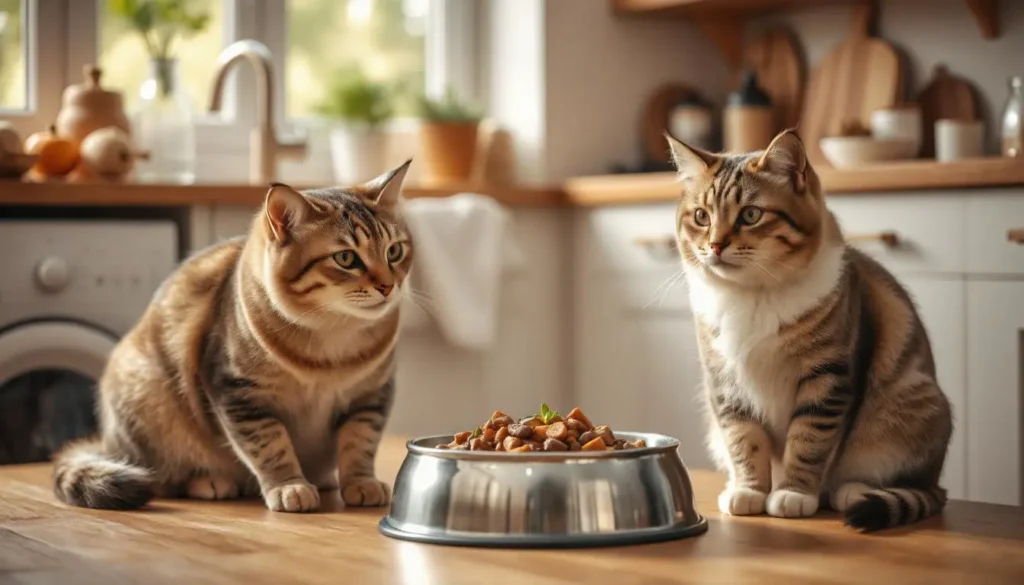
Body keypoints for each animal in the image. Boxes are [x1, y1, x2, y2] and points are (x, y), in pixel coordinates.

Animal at [54, 159, 413, 512]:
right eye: (346, 258)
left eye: (394, 252)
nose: (388, 286)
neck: (333, 341)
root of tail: (108, 444)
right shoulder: (239, 393)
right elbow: (270, 446)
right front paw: (289, 486)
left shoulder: (371, 394)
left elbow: (360, 442)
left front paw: (361, 483)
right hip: (149, 403)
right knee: (164, 479)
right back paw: (210, 482)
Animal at [667, 131, 954, 532]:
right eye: (701, 216)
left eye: (751, 214)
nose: (716, 245)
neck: (754, 295)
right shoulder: (724, 381)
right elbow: (743, 440)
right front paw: (749, 491)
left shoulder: (828, 378)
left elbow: (808, 440)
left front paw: (792, 494)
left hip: (911, 405)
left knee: (899, 479)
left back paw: (852, 492)